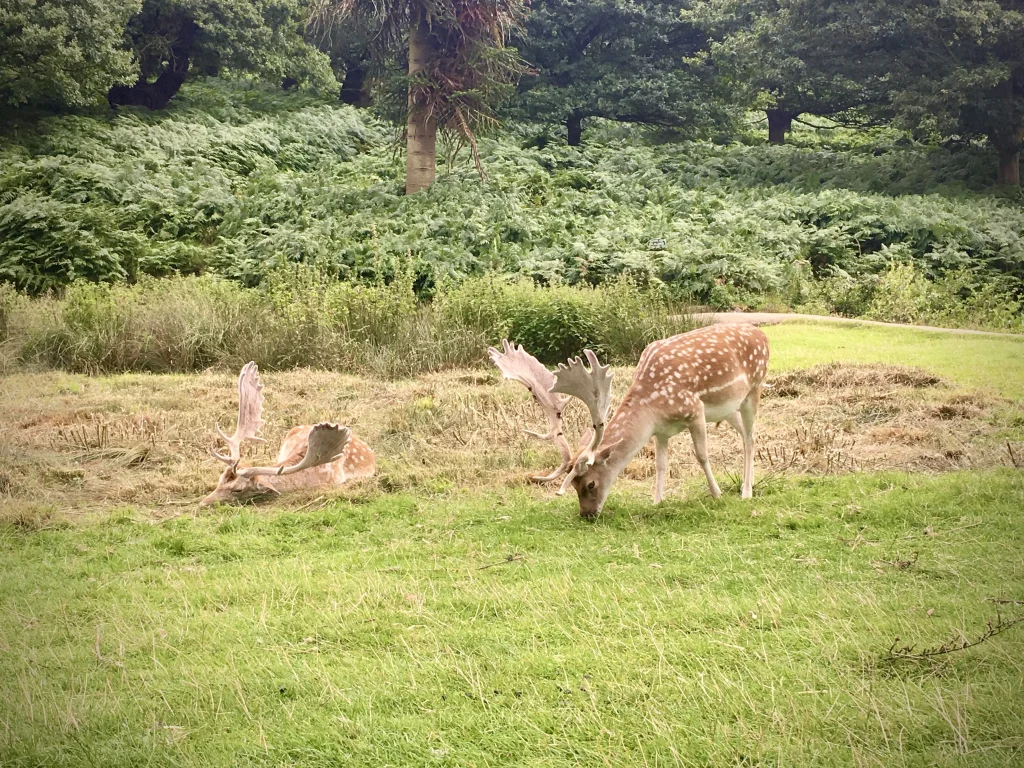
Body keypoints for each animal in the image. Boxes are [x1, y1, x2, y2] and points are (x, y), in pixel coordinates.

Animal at [490, 323, 770, 518]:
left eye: (590, 483)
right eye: (574, 485)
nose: (587, 515)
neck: (653, 406)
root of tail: (763, 336)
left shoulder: (694, 410)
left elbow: (701, 455)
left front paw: (717, 494)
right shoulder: (662, 431)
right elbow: (660, 464)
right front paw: (657, 501)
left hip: (754, 388)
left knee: (751, 437)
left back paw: (746, 492)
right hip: (729, 409)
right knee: (747, 436)